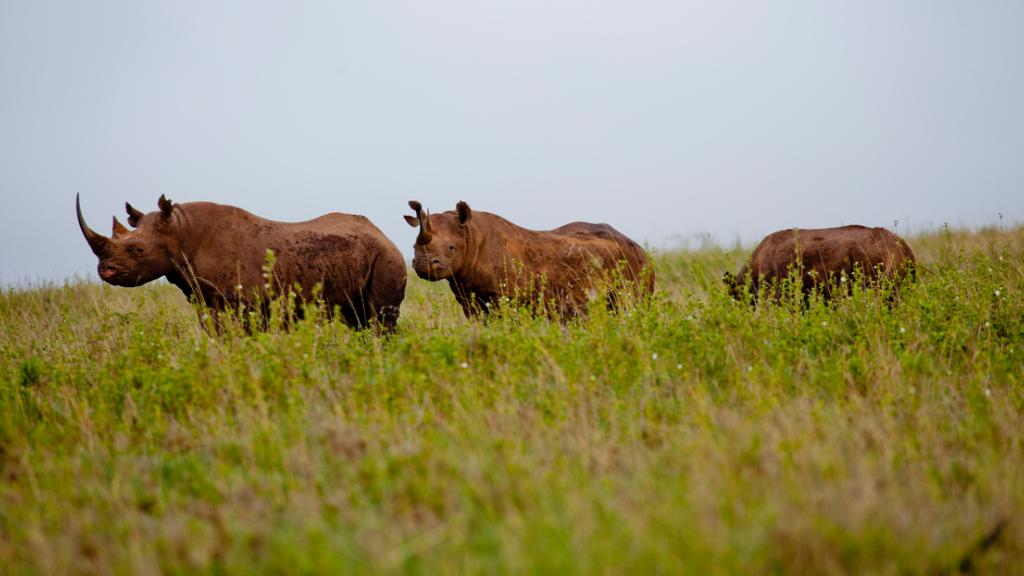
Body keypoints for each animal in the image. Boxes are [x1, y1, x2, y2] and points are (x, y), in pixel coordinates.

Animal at [76, 194, 406, 330]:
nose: (105, 270)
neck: (181, 232)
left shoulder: (242, 304)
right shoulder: (205, 301)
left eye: (137, 251)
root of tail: (383, 234)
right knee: (358, 320)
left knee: (379, 319)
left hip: (386, 257)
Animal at [403, 200, 653, 317]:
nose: (424, 265)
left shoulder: (502, 296)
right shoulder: (467, 295)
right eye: (413, 246)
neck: (471, 236)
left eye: (452, 248)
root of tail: (640, 249)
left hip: (635, 266)